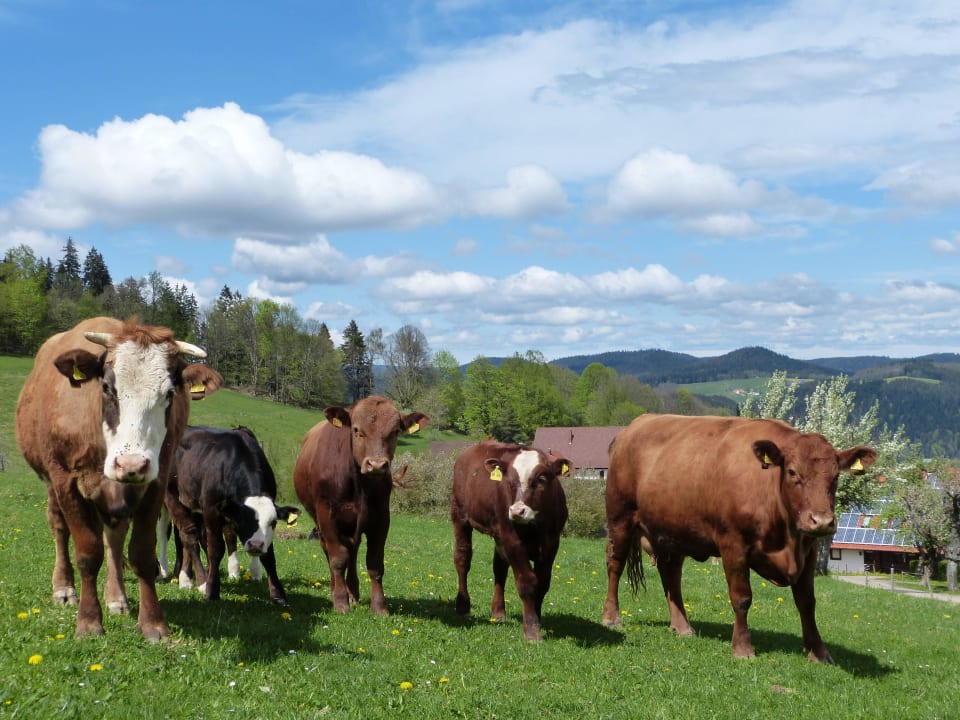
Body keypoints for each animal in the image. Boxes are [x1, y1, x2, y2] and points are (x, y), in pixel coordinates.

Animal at [15, 317, 221, 639]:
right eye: (107, 387)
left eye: (170, 394)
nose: (131, 464)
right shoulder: (66, 481)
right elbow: (87, 553)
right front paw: (88, 622)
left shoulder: (155, 482)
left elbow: (141, 554)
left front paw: (153, 623)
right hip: (51, 480)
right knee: (59, 527)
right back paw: (64, 588)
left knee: (113, 537)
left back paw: (117, 597)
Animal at [163, 425, 299, 604]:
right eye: (244, 520)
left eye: (273, 522)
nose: (255, 545)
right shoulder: (211, 510)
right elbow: (215, 549)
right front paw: (212, 590)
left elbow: (269, 556)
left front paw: (278, 594)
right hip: (172, 497)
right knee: (188, 536)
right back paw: (200, 581)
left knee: (185, 538)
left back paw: (185, 579)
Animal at [293, 396, 427, 615]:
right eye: (356, 430)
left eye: (395, 431)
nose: (377, 465)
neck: (358, 485)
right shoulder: (327, 514)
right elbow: (338, 559)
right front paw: (340, 602)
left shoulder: (381, 518)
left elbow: (375, 563)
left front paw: (379, 606)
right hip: (319, 521)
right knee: (330, 551)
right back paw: (336, 590)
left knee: (353, 550)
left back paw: (353, 592)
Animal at [450, 440, 571, 642]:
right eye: (509, 481)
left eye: (541, 479)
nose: (516, 511)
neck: (535, 525)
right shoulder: (512, 540)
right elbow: (527, 582)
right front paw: (532, 629)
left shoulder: (551, 543)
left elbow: (542, 583)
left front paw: (538, 620)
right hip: (460, 516)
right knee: (462, 559)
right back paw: (462, 606)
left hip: (498, 536)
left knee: (499, 568)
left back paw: (498, 612)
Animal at [601, 413, 877, 663]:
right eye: (792, 472)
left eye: (836, 476)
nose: (821, 521)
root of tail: (633, 426)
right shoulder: (733, 543)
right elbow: (742, 597)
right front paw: (743, 649)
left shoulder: (809, 549)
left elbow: (807, 602)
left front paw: (818, 653)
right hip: (620, 518)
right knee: (615, 564)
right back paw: (611, 617)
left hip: (672, 532)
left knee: (671, 575)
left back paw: (682, 627)